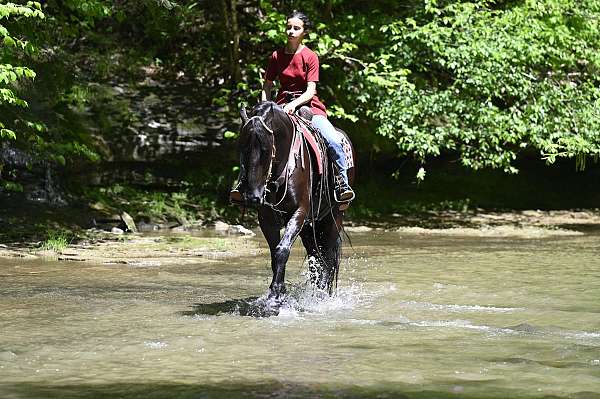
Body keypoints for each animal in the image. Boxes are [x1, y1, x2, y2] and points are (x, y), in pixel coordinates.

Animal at [237, 101, 354, 298]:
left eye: (265, 149)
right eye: (242, 148)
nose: (253, 196)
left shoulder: (299, 211)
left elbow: (282, 250)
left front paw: (275, 295)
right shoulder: (267, 217)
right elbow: (274, 253)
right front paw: (278, 291)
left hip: (334, 216)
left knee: (328, 254)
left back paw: (321, 294)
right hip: (310, 225)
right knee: (315, 255)